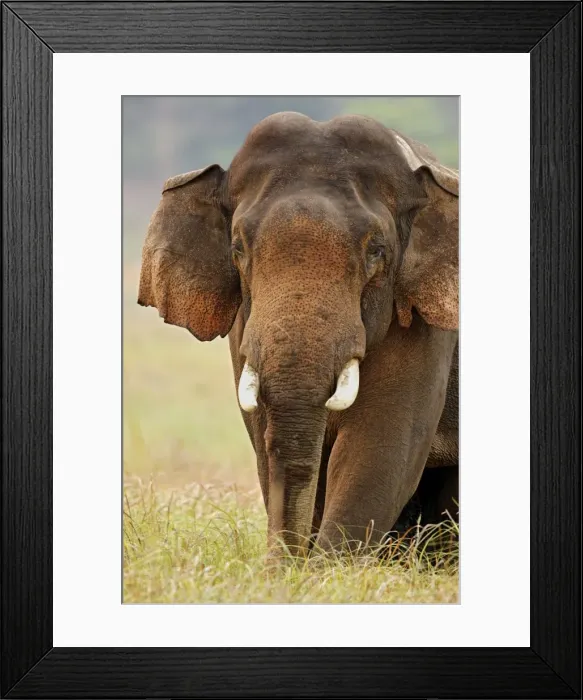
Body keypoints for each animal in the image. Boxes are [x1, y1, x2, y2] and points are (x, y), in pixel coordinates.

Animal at [138, 112, 459, 558]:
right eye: (237, 248)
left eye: (376, 251)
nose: (282, 563)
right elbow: (265, 437)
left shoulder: (424, 324)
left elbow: (380, 444)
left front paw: (328, 570)